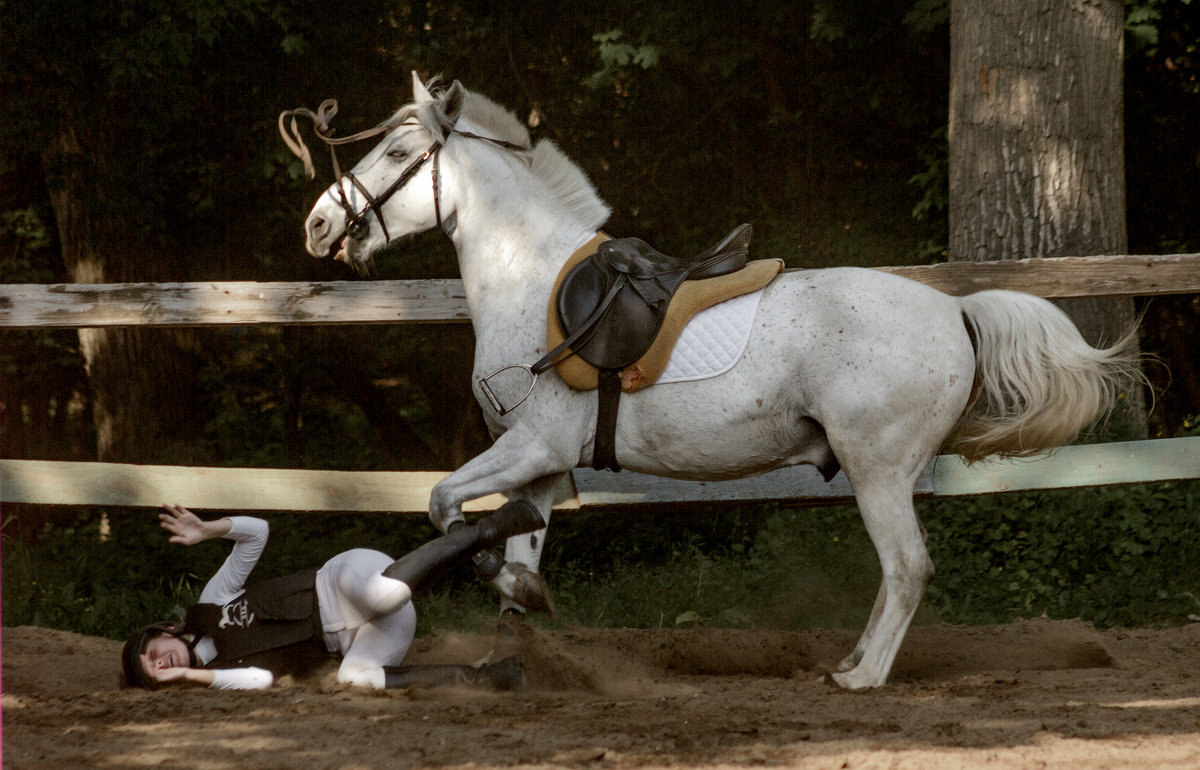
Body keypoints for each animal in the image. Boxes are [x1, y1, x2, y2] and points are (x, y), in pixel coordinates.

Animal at [290, 74, 1132, 686]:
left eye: (399, 154)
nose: (319, 226)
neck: (531, 279)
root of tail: (957, 310)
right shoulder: (543, 468)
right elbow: (514, 552)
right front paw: (517, 623)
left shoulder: (532, 447)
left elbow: (442, 505)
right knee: (898, 573)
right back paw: (852, 662)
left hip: (877, 469)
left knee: (906, 568)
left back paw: (862, 679)